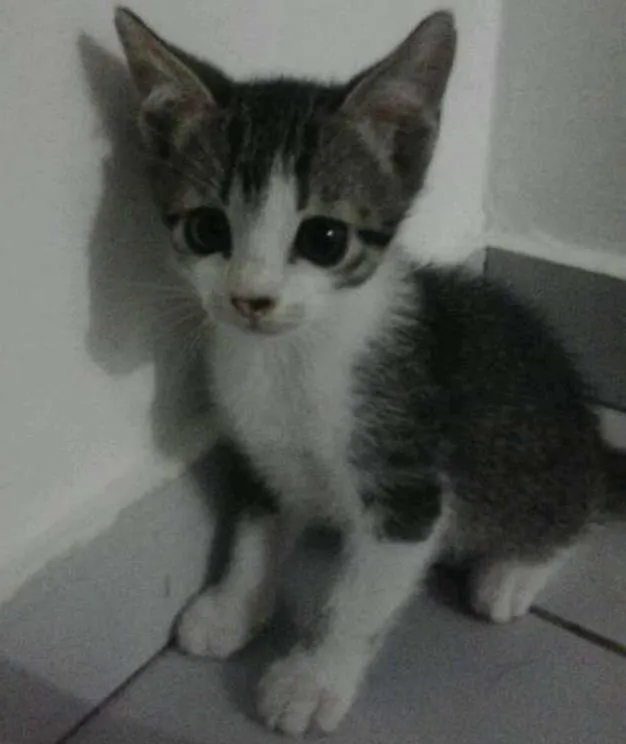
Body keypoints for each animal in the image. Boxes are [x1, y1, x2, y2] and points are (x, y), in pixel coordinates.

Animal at [115, 7, 624, 736]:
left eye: (324, 238)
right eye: (208, 229)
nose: (250, 299)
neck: (291, 359)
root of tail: (587, 428)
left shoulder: (408, 487)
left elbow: (359, 598)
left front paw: (313, 678)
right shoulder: (262, 449)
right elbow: (253, 530)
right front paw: (233, 606)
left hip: (528, 468)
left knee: (571, 511)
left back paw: (513, 572)